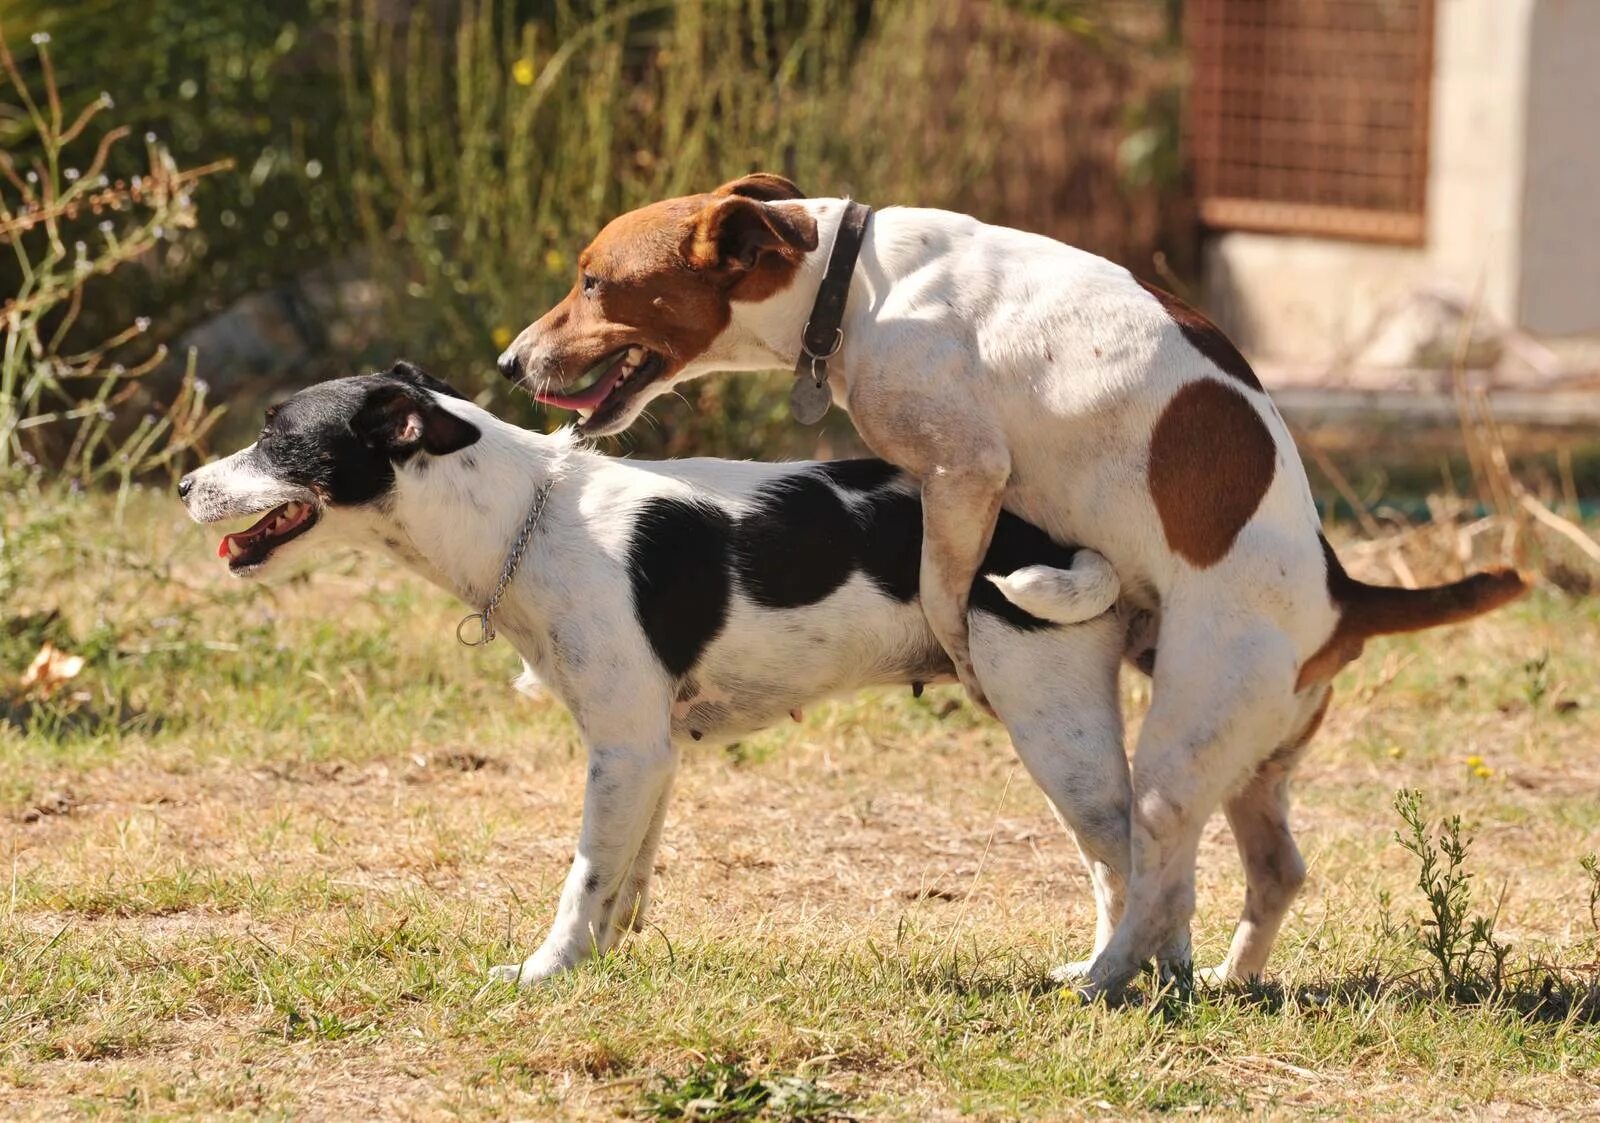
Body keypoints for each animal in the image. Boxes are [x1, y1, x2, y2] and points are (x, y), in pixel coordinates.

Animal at [181, 367, 1132, 985]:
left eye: (276, 437)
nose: (185, 483)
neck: (526, 519)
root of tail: (1055, 536)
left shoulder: (624, 751)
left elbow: (583, 877)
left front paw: (544, 972)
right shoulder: (652, 754)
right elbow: (625, 874)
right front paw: (598, 960)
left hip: (1057, 732)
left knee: (1131, 860)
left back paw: (1111, 976)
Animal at [499, 178, 1523, 1004]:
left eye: (592, 282)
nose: (509, 362)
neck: (851, 282)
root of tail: (1343, 593)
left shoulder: (964, 472)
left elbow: (943, 586)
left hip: (1180, 750)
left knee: (1158, 876)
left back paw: (1106, 977)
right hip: (1252, 766)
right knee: (1272, 872)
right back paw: (1228, 976)